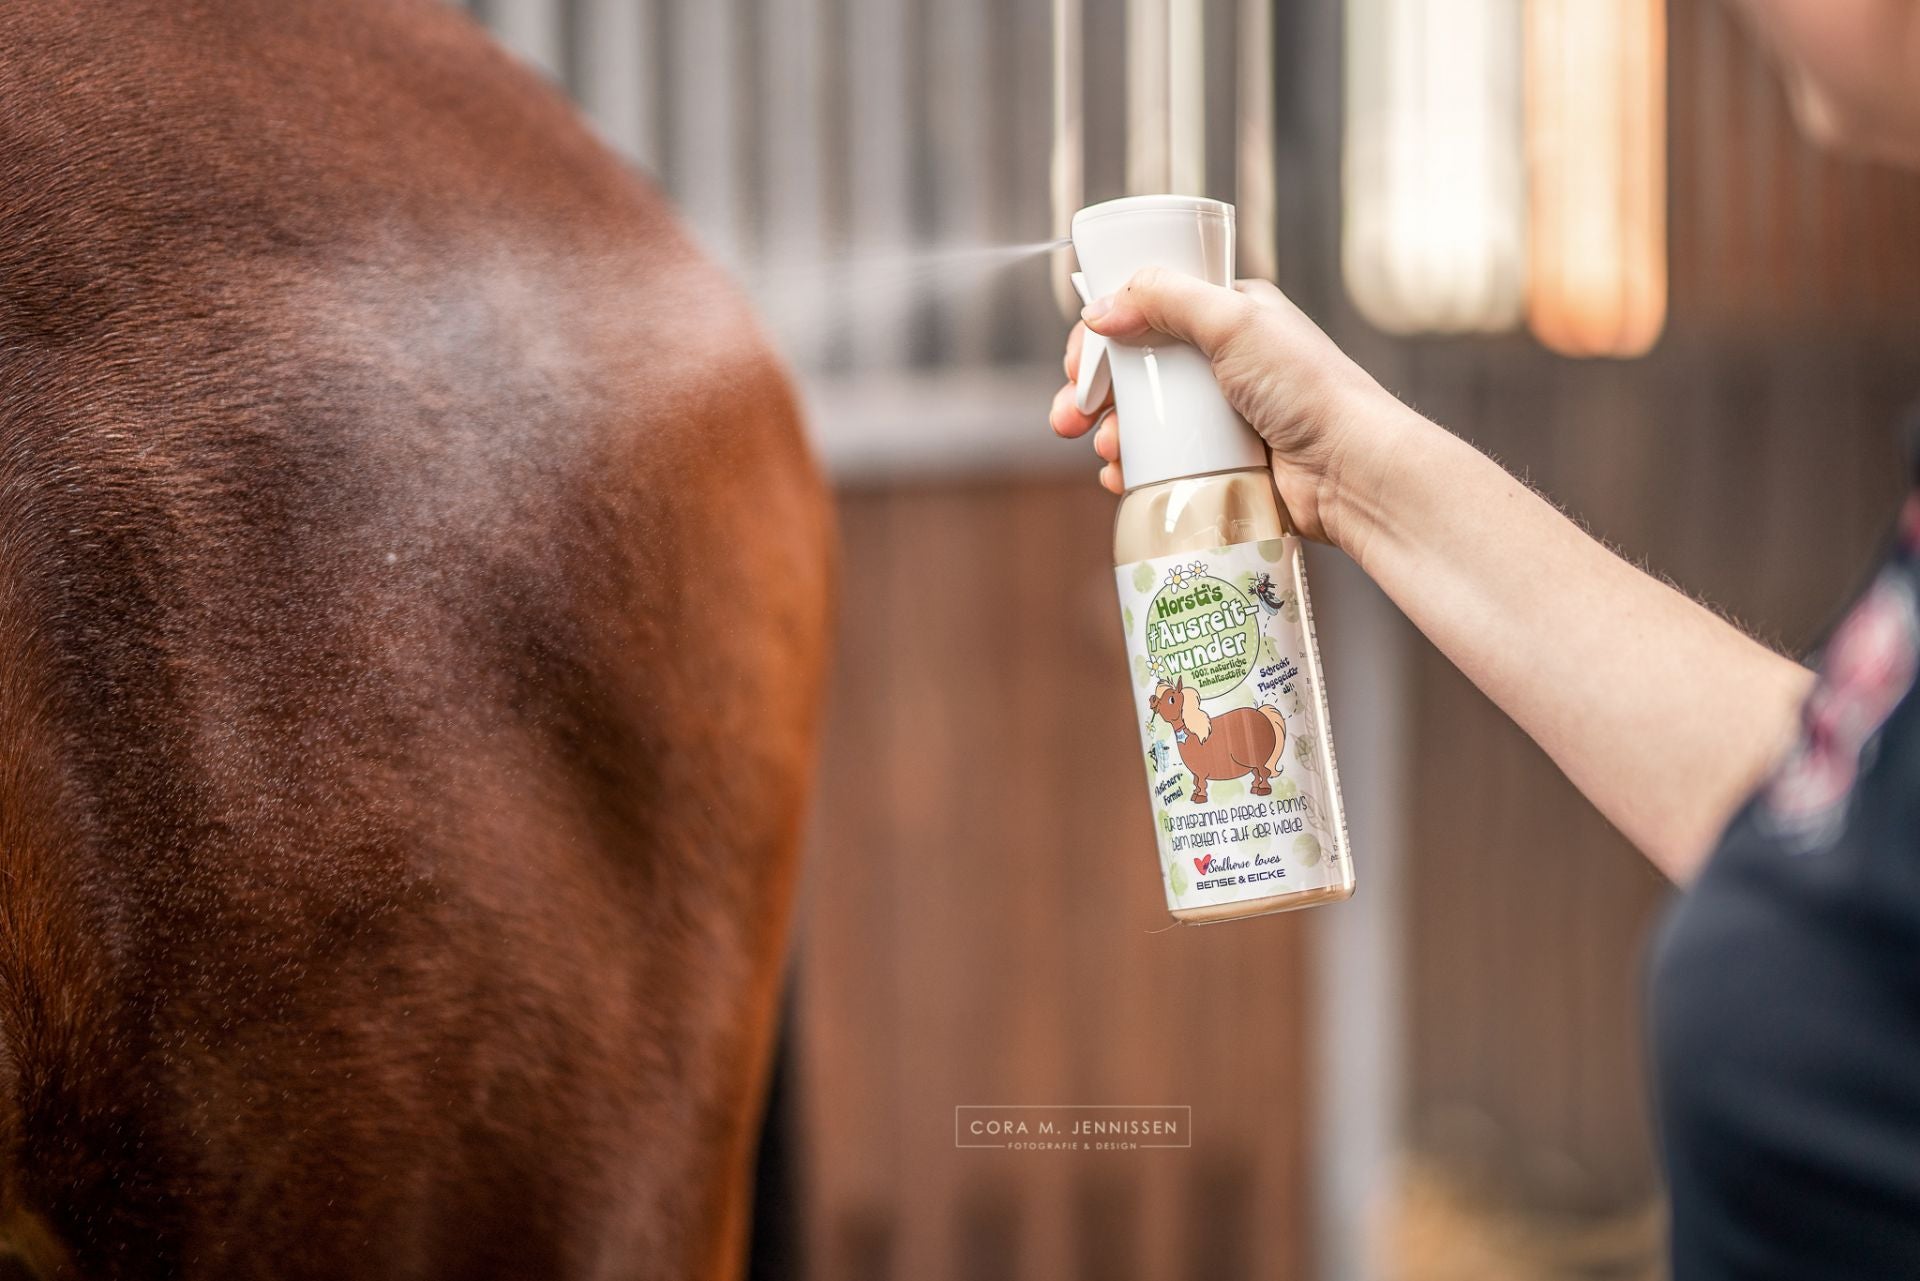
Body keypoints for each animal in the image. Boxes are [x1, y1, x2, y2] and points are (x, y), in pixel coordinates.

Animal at [1144, 679, 1282, 802]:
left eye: (1171, 699)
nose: (1152, 699)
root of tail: (1261, 713)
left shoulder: (1201, 771)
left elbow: (1201, 783)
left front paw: (1200, 797)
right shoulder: (1196, 772)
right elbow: (1196, 783)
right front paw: (1195, 794)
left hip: (1257, 759)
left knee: (1264, 772)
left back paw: (1263, 789)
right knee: (1257, 772)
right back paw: (1254, 787)